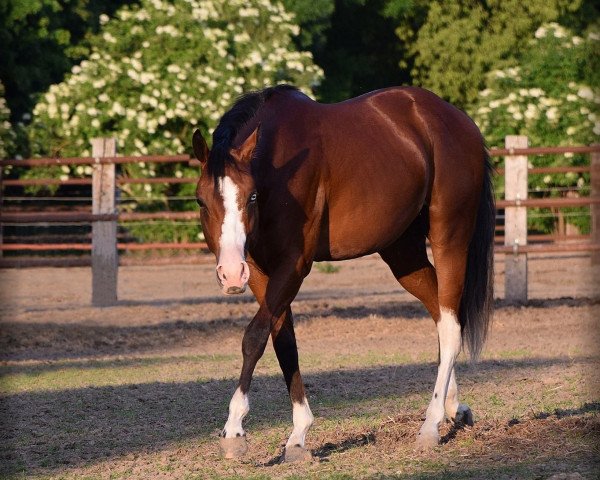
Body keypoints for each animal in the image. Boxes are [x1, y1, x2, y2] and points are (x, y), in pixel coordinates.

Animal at [191, 83, 492, 462]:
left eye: (252, 196)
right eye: (201, 201)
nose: (231, 274)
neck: (279, 168)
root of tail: (460, 122)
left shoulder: (294, 265)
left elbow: (254, 338)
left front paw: (234, 430)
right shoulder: (261, 271)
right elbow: (283, 342)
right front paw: (299, 435)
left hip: (449, 237)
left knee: (451, 326)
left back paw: (431, 424)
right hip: (402, 253)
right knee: (440, 315)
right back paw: (454, 407)